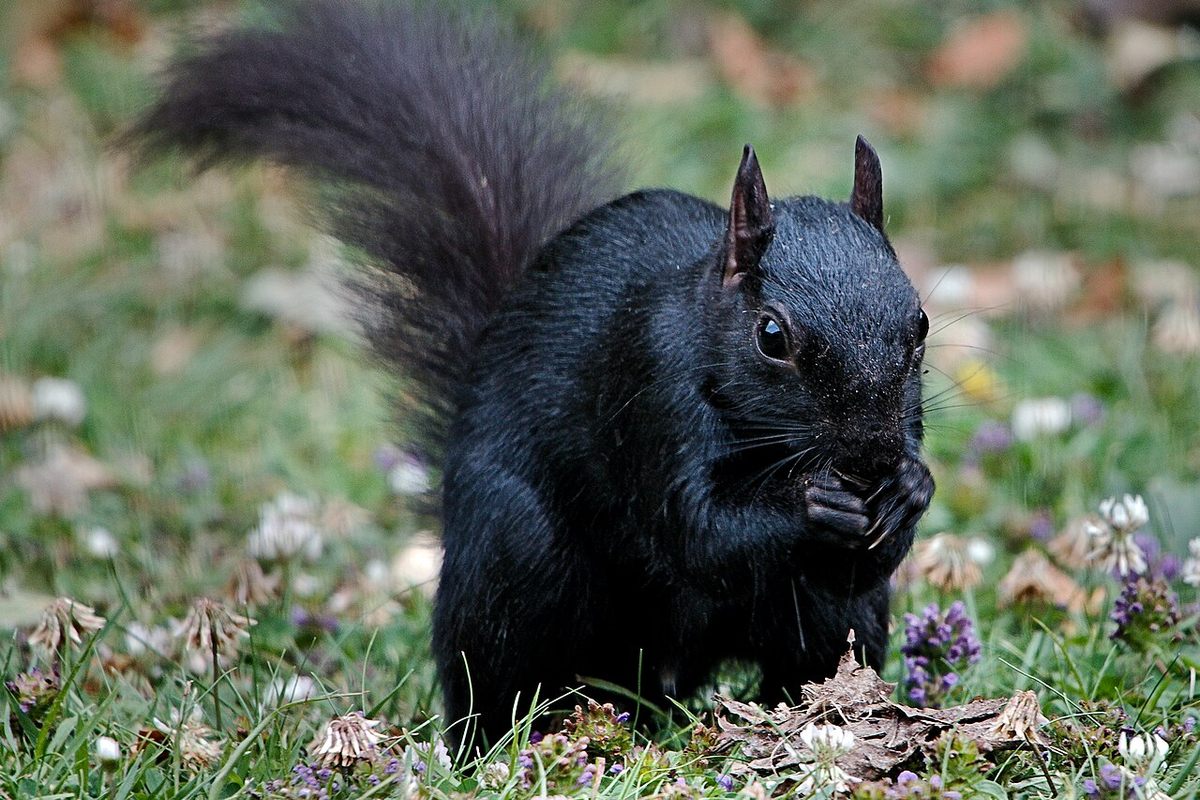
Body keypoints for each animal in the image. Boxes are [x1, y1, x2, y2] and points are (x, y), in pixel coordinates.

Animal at [133, 3, 936, 748]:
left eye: (921, 323)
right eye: (772, 337)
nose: (871, 457)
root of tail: (656, 672)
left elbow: (861, 559)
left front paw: (910, 488)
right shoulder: (649, 389)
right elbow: (700, 530)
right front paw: (814, 500)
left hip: (827, 623)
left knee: (816, 641)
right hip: (512, 551)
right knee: (494, 677)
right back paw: (499, 743)